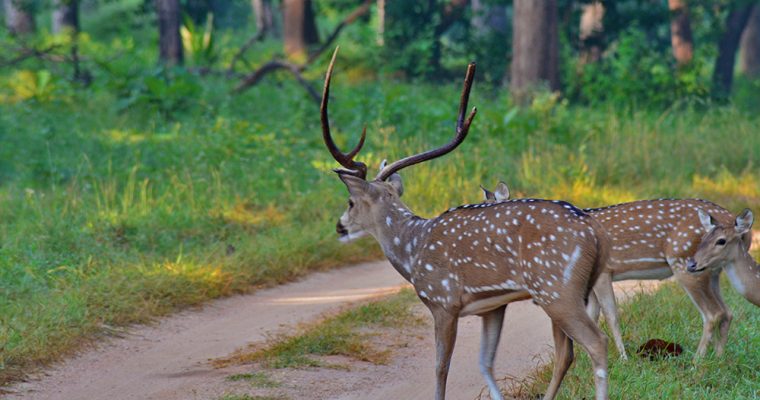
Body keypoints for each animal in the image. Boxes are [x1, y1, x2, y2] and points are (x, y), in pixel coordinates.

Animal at [320, 49, 612, 400]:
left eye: (350, 202)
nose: (339, 227)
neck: (412, 250)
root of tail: (594, 233)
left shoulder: (443, 301)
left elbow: (440, 368)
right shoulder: (492, 307)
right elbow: (485, 362)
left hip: (557, 289)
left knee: (596, 342)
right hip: (570, 291)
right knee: (570, 350)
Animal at [484, 183, 756, 358]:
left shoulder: (604, 272)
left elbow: (611, 316)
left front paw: (623, 359)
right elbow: (592, 316)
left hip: (685, 263)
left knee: (713, 312)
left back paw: (698, 361)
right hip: (713, 271)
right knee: (727, 311)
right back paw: (718, 358)